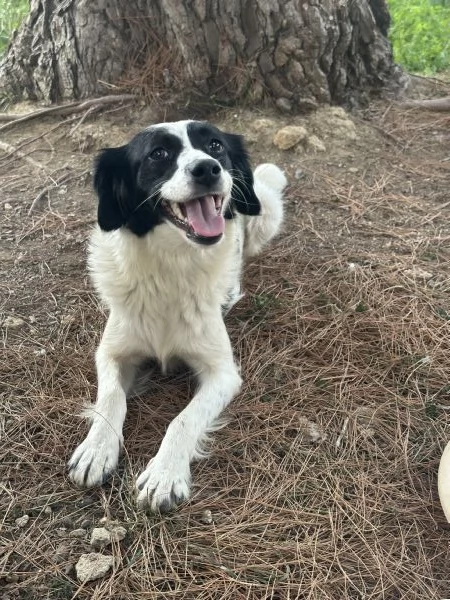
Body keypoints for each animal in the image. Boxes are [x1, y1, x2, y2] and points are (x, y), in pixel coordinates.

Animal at [67, 120, 284, 510]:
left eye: (215, 145)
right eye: (158, 153)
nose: (208, 169)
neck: (172, 265)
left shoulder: (223, 373)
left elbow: (183, 420)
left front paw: (165, 474)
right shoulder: (110, 352)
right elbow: (110, 398)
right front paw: (96, 449)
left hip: (267, 211)